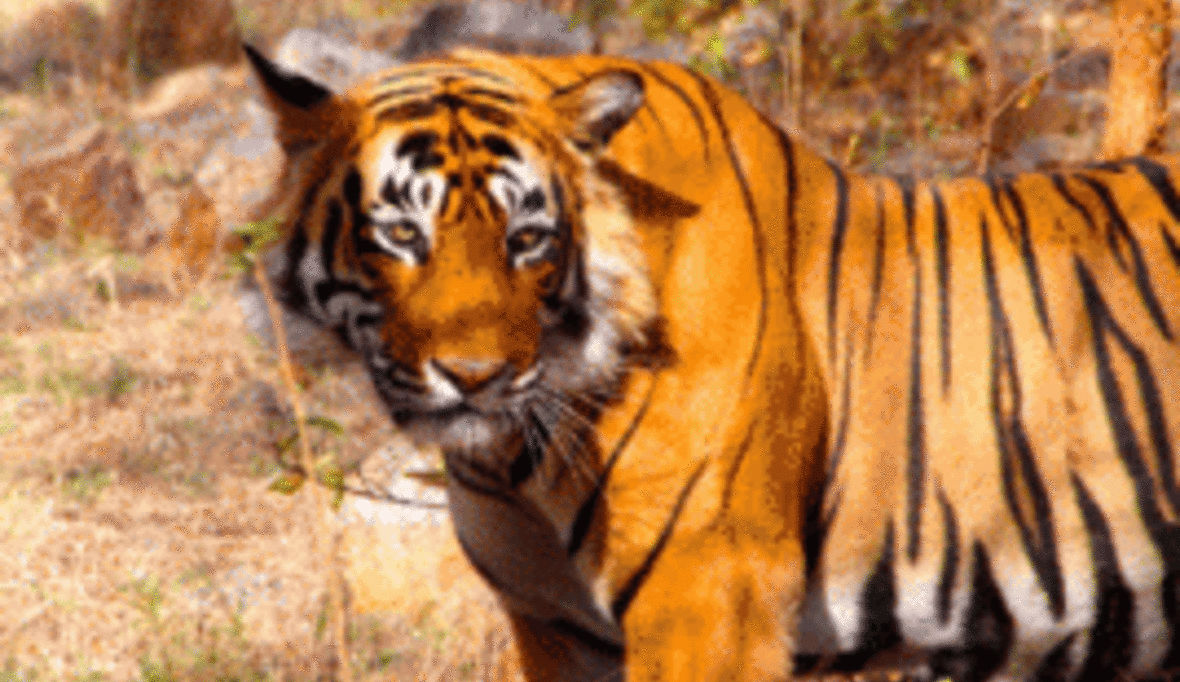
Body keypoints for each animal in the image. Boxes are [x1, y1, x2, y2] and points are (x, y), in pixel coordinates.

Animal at [242, 43, 1180, 682]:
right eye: (403, 234)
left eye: (527, 240)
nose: (476, 377)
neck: (518, 456)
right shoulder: (553, 624)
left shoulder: (711, 589)